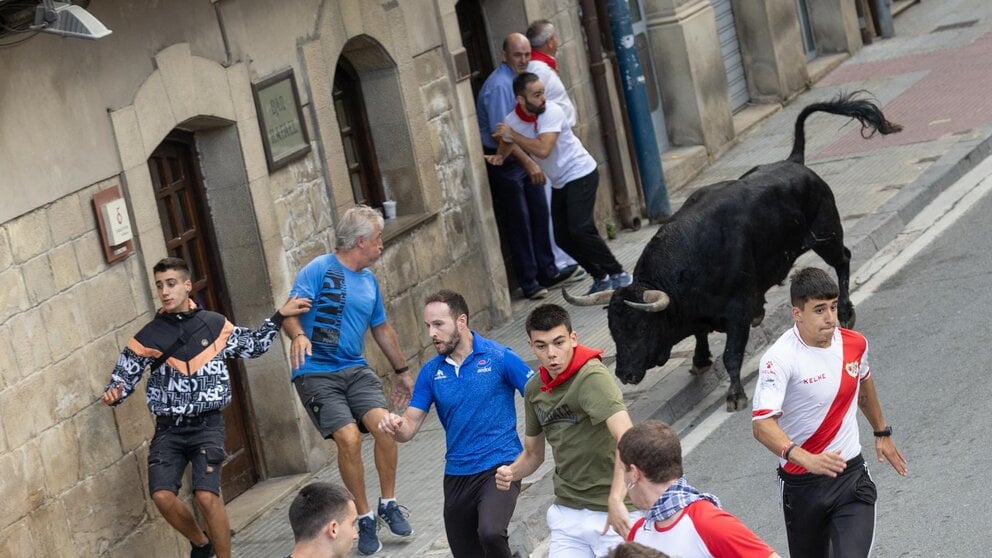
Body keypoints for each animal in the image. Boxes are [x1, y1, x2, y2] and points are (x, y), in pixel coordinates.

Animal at [564, 93, 900, 412]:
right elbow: (701, 335)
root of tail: (794, 161)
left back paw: (844, 312)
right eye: (613, 329)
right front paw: (699, 360)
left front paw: (734, 395)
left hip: (827, 235)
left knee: (843, 260)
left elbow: (731, 354)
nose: (625, 374)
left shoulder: (737, 309)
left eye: (643, 325)